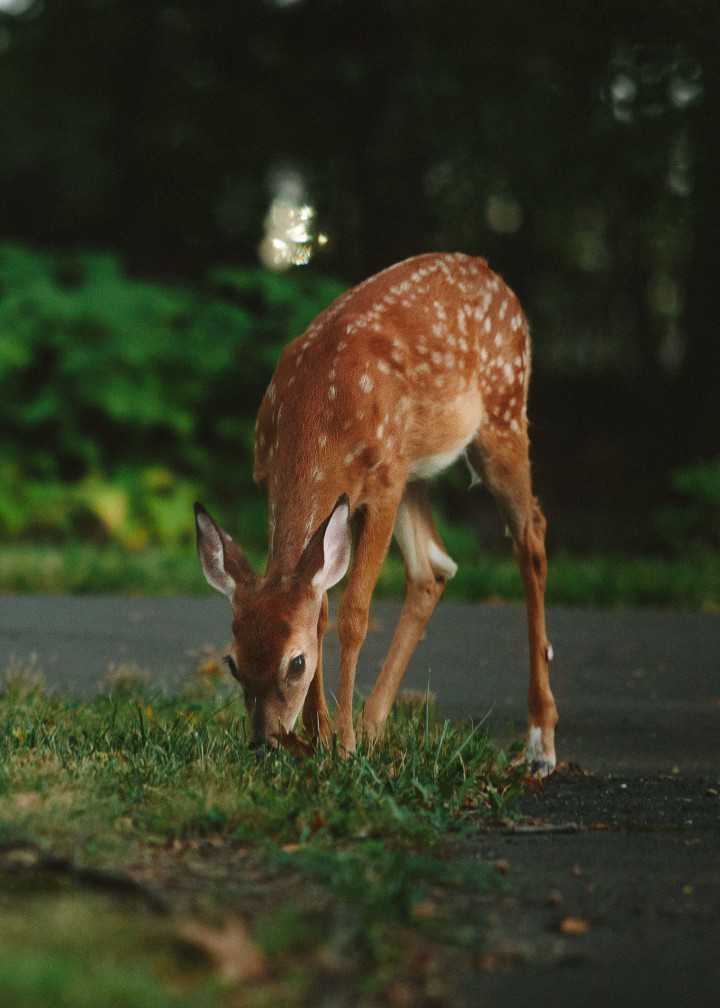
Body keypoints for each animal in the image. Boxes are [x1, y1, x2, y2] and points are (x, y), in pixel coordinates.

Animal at [193, 256, 556, 774]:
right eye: (233, 662)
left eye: (296, 663)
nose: (265, 742)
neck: (317, 416)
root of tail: (489, 272)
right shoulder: (275, 482)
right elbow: (320, 607)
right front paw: (320, 737)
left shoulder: (382, 484)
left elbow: (353, 614)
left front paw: (340, 745)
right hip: (415, 469)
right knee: (434, 567)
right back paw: (373, 726)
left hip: (501, 415)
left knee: (531, 536)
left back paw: (540, 743)